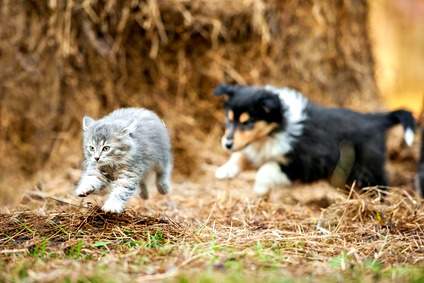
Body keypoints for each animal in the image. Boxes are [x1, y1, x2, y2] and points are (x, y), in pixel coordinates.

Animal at [214, 83, 416, 196]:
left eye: (247, 122)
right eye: (229, 119)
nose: (227, 144)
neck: (275, 130)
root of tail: (375, 120)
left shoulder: (301, 162)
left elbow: (266, 169)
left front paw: (259, 189)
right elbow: (241, 156)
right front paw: (224, 170)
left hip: (367, 166)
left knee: (381, 183)